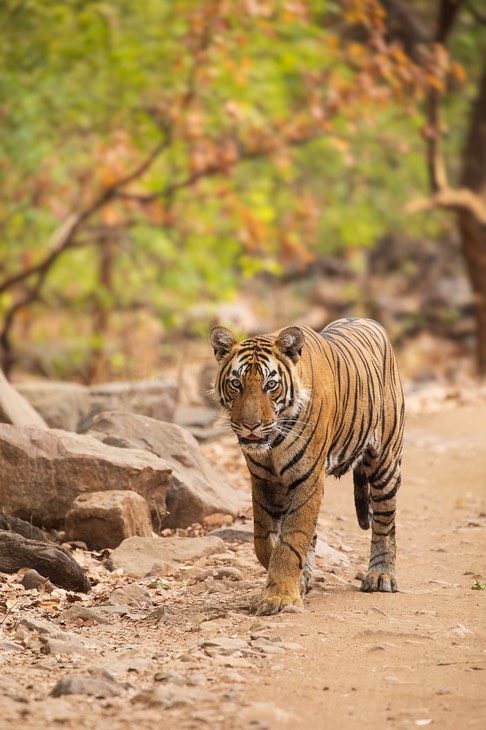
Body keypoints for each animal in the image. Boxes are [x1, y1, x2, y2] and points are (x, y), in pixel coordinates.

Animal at [209, 316, 402, 612]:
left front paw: (279, 596)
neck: (273, 444)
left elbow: (291, 540)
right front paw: (290, 580)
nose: (250, 425)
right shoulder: (262, 479)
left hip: (385, 462)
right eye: (236, 384)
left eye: (270, 385)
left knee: (385, 522)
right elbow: (264, 538)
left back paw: (380, 576)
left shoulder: (308, 478)